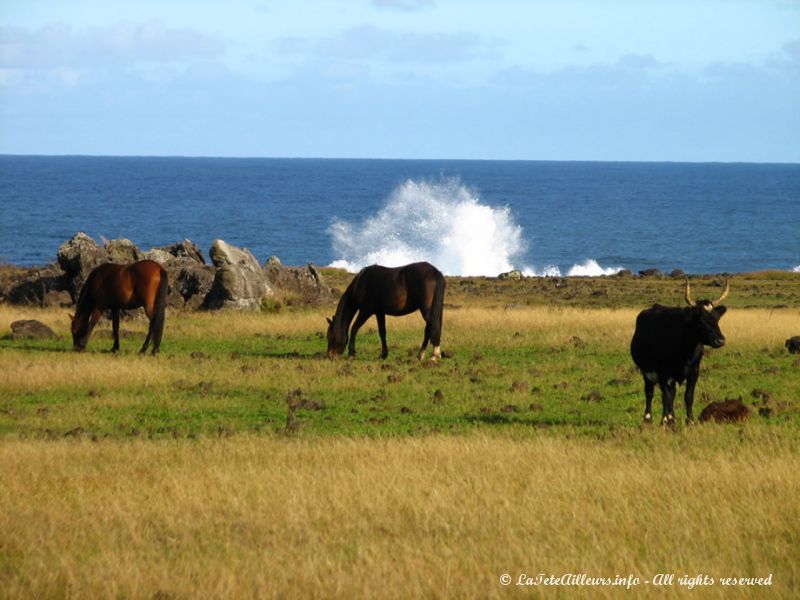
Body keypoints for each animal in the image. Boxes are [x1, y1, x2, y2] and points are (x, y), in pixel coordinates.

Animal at [632, 282, 732, 426]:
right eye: (701, 320)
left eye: (717, 319)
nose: (720, 340)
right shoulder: (662, 372)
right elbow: (666, 396)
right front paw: (667, 419)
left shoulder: (694, 371)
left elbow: (688, 396)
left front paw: (690, 421)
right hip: (646, 370)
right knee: (650, 392)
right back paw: (649, 418)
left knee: (670, 393)